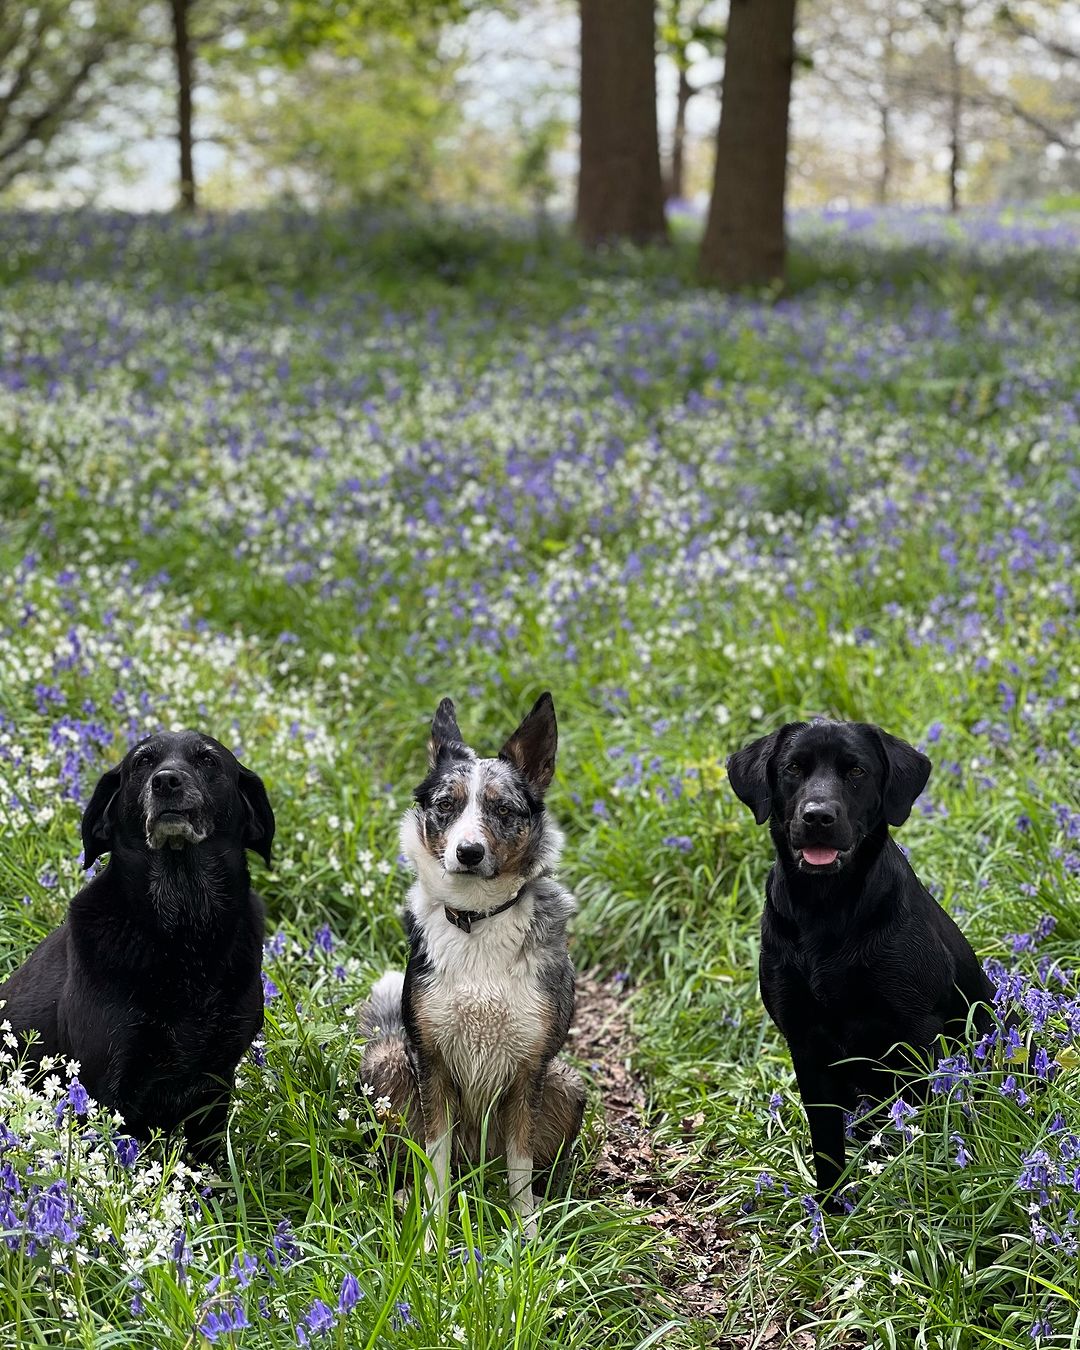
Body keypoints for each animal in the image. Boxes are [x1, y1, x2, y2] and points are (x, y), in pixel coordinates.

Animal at [1, 734, 270, 1155]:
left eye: (208, 760)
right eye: (142, 762)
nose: (166, 781)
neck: (182, 931)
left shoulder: (216, 1083)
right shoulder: (106, 1086)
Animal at [723, 723, 993, 1209]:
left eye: (856, 772)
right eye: (793, 768)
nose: (818, 817)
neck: (826, 911)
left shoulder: (916, 1032)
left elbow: (917, 1122)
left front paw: (916, 1187)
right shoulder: (804, 1041)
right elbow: (825, 1138)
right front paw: (832, 1207)